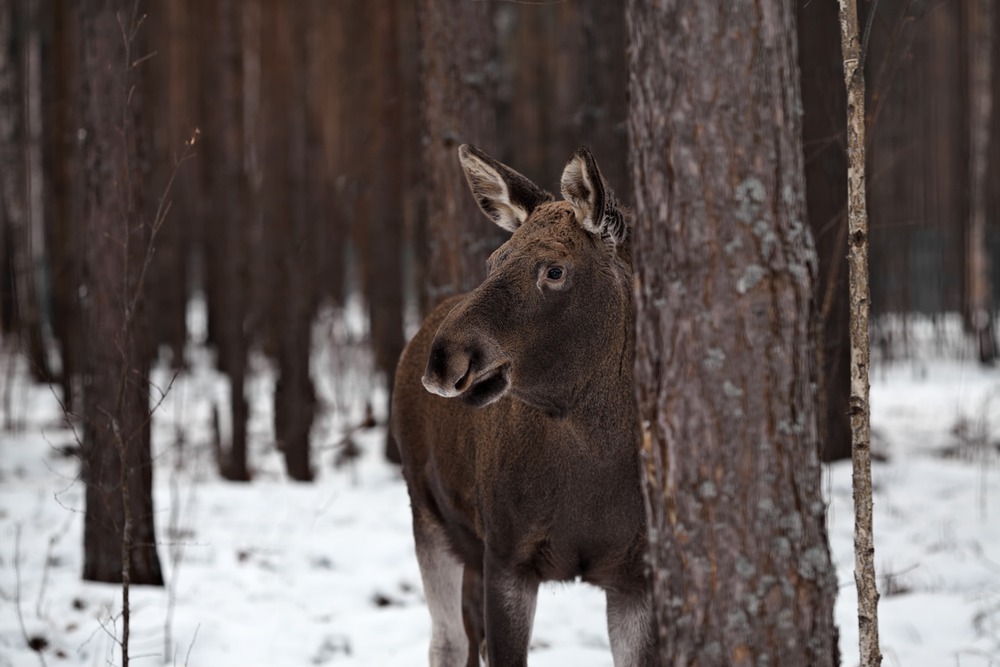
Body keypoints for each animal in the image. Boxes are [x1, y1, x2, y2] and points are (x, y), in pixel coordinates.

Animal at [394, 144, 652, 664]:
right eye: (494, 260)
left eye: (554, 269)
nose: (443, 358)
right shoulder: (506, 553)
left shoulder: (636, 576)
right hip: (427, 513)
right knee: (448, 640)